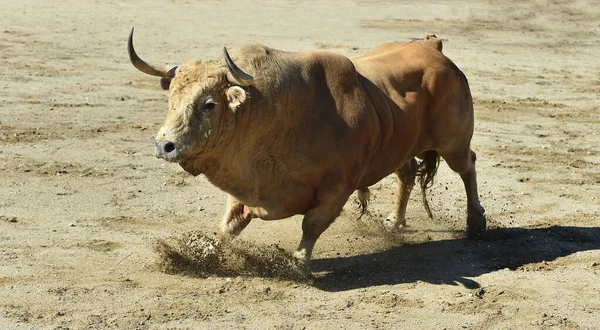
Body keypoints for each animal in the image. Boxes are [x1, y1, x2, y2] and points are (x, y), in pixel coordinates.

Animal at [129, 27, 486, 262]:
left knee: (467, 166)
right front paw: (208, 252)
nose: (165, 146)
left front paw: (299, 261)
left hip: (452, 142)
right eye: (172, 99)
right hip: (404, 146)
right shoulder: (246, 185)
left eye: (209, 104)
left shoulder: (336, 189)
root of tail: (433, 47)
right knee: (407, 175)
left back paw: (475, 223)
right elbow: (228, 226)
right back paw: (395, 222)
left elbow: (311, 225)